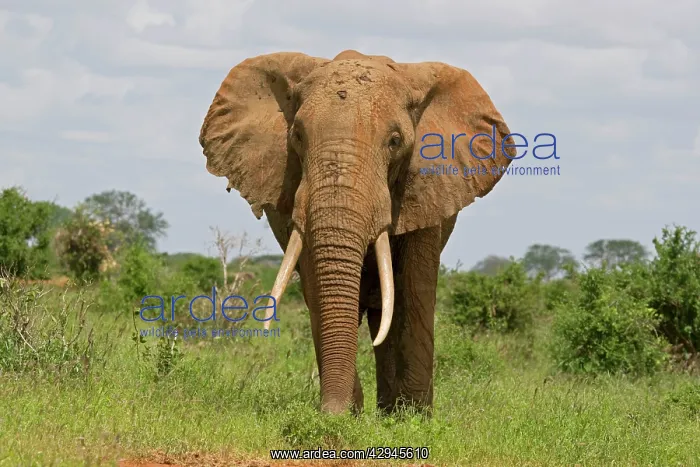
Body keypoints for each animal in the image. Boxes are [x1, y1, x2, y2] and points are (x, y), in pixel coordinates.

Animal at [198, 49, 516, 415]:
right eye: (297, 136)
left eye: (395, 142)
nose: (330, 412)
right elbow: (317, 287)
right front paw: (348, 414)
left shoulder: (427, 189)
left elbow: (413, 292)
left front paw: (412, 418)